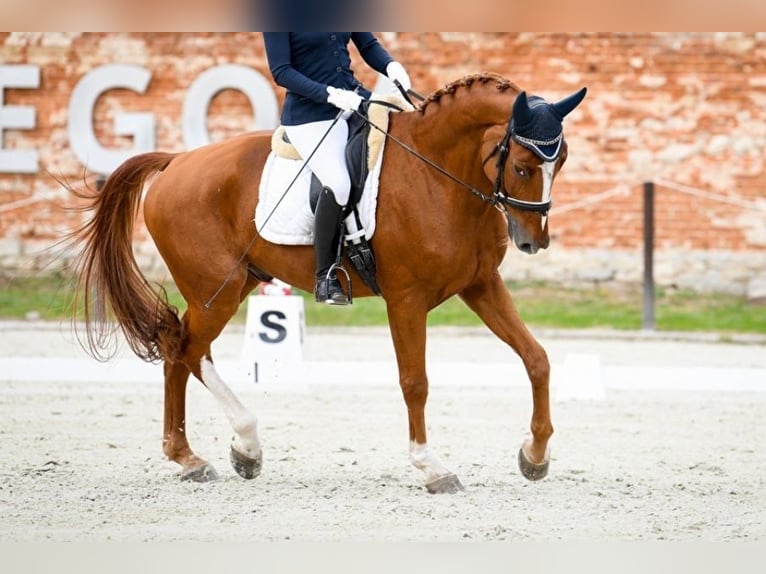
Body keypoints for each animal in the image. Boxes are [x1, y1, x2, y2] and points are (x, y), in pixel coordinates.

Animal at [71, 73, 586, 494]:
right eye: (521, 166)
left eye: (560, 162)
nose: (534, 241)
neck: (438, 174)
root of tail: (175, 161)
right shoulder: (406, 298)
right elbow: (415, 382)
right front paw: (431, 467)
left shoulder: (480, 285)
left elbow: (537, 359)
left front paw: (534, 456)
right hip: (214, 289)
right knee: (184, 349)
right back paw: (230, 446)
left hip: (235, 284)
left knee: (181, 351)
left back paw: (204, 456)